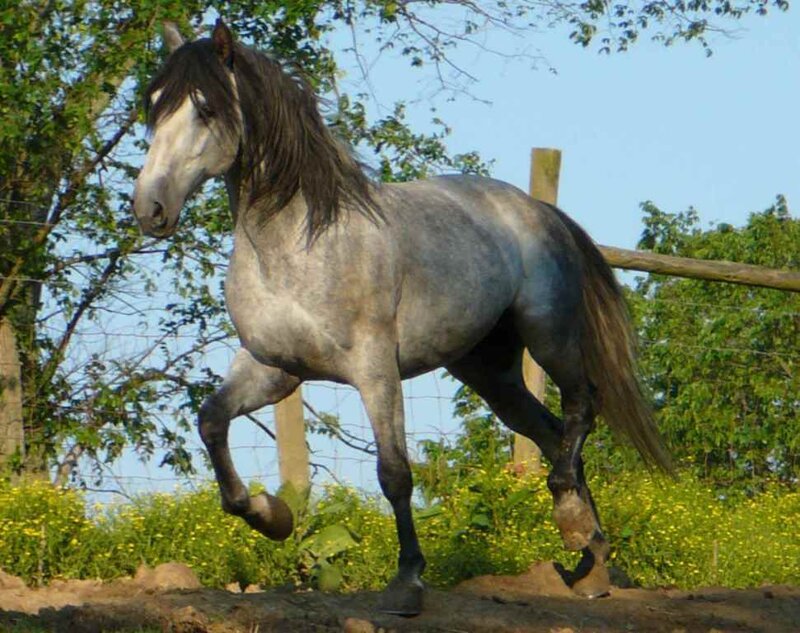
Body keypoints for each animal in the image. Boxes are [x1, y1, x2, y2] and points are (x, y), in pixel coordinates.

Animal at [132, 19, 672, 616]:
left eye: (205, 108)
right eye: (152, 106)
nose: (149, 209)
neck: (299, 244)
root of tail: (536, 210)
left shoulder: (374, 372)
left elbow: (394, 473)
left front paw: (408, 582)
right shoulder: (274, 369)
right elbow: (211, 422)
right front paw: (272, 516)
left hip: (548, 335)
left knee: (581, 410)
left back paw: (574, 525)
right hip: (490, 373)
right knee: (554, 436)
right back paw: (589, 561)